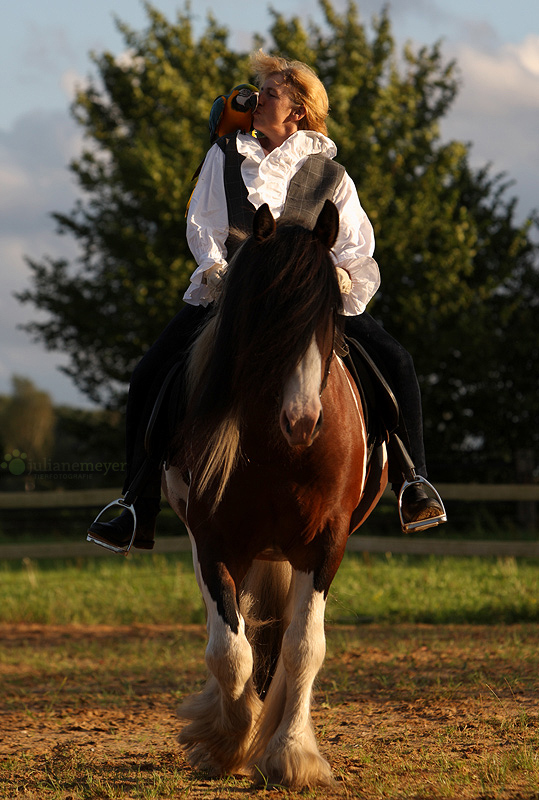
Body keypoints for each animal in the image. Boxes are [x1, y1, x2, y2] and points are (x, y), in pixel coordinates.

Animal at [165, 200, 388, 788]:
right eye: (265, 312)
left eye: (330, 314)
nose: (303, 420)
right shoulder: (213, 542)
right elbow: (230, 651)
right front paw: (225, 741)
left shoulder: (324, 543)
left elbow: (303, 648)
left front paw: (291, 754)